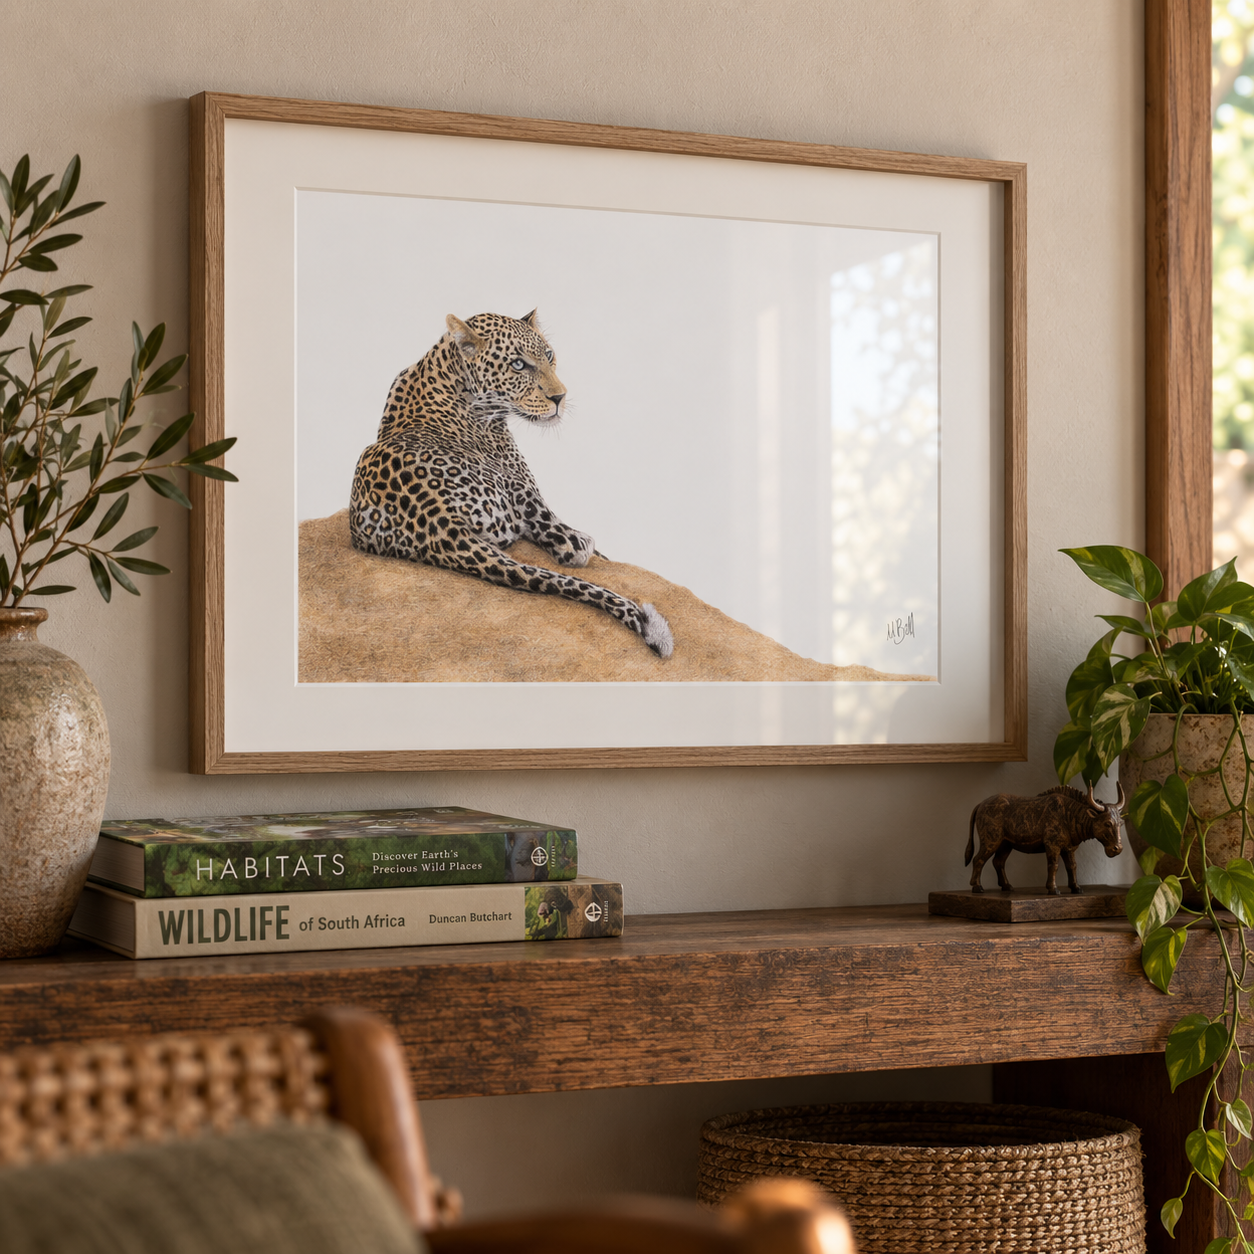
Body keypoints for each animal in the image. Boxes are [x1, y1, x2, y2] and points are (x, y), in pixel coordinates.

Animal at [349, 311, 674, 658]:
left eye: (548, 355)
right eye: (518, 365)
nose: (559, 397)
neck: (442, 369)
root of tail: (439, 522)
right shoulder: (522, 483)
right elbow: (563, 537)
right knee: (561, 541)